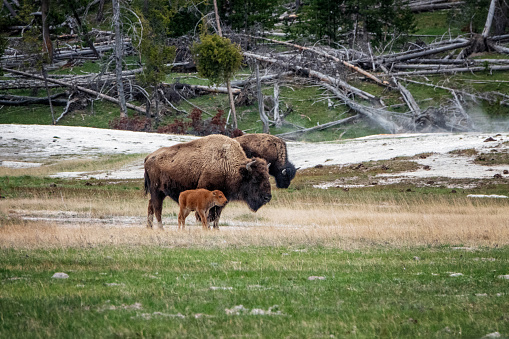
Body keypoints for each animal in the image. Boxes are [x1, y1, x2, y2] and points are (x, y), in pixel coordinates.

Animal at [143, 134, 272, 230]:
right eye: (255, 179)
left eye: (267, 177)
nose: (267, 197)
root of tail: (149, 156)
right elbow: (207, 216)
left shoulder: (222, 199)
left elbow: (216, 215)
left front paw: (216, 229)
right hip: (157, 191)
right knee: (157, 209)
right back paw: (160, 228)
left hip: (160, 193)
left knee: (150, 205)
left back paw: (150, 227)